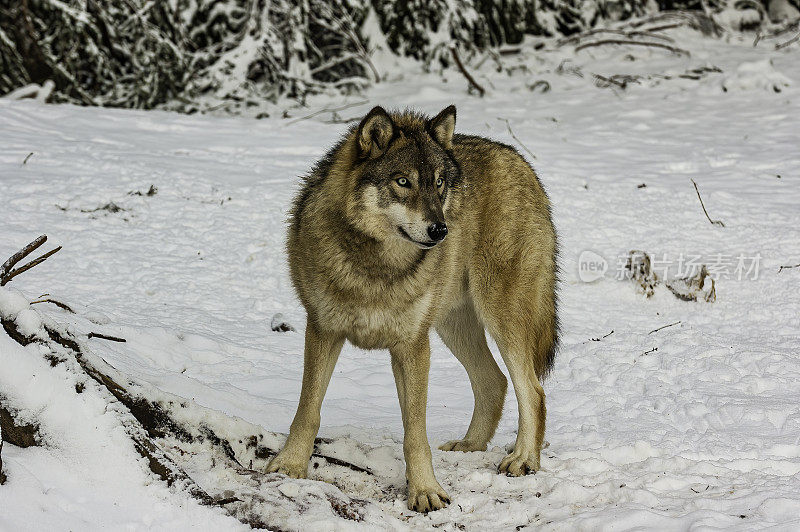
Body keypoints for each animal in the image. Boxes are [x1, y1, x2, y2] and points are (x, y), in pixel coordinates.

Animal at [268, 106, 556, 512]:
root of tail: (518, 159)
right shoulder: (322, 329)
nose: (440, 230)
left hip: (500, 317)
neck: (379, 266)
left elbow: (415, 432)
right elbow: (307, 410)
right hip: (453, 325)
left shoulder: (413, 345)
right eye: (403, 181)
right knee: (494, 381)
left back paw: (523, 459)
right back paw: (469, 446)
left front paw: (425, 491)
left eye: (439, 183)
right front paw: (290, 465)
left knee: (532, 390)